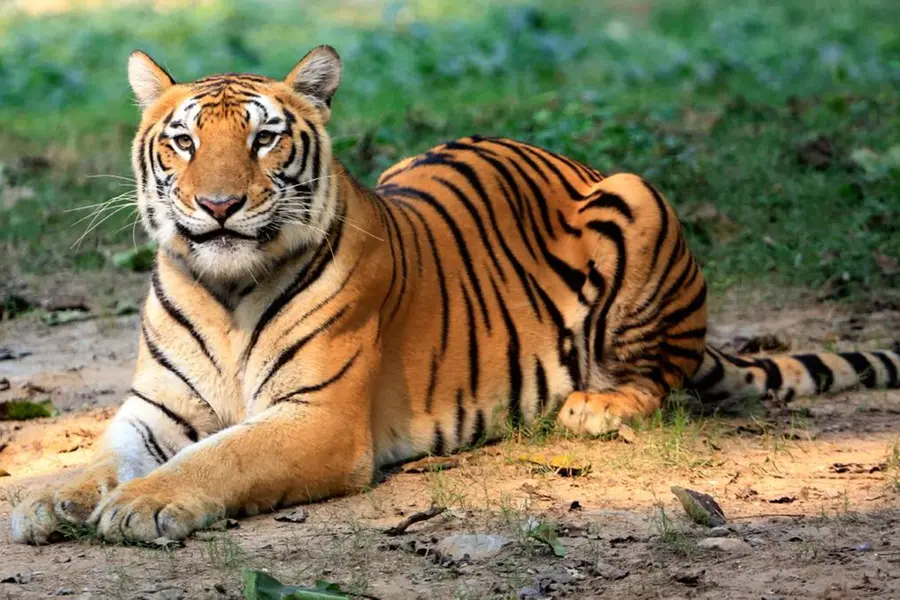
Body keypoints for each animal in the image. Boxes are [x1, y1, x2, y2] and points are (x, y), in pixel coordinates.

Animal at [12, 45, 900, 545]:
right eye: (183, 141)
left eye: (264, 138)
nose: (221, 205)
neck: (223, 289)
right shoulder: (155, 412)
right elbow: (102, 455)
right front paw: (44, 497)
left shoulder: (317, 419)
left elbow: (221, 455)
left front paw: (142, 506)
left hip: (637, 196)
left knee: (665, 378)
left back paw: (595, 406)